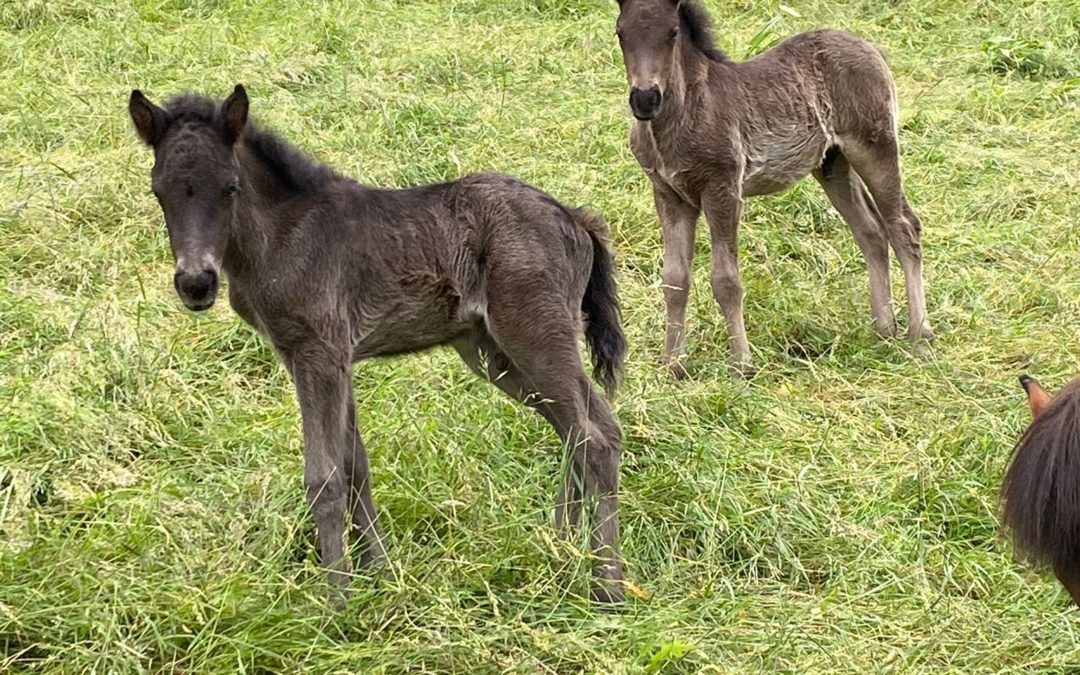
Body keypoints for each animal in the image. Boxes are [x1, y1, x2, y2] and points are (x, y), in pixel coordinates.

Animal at [130, 85, 630, 604]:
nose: (195, 284)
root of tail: (575, 219)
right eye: (159, 191)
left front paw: (338, 598)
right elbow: (357, 466)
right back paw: (560, 549)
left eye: (229, 187)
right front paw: (380, 574)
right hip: (494, 352)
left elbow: (325, 476)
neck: (282, 235)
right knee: (580, 430)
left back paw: (606, 584)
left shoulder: (318, 355)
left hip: (534, 335)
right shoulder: (330, 359)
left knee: (595, 437)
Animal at [622, 0, 933, 380]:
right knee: (871, 232)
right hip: (833, 164)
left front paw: (742, 365)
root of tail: (870, 47)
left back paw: (919, 333)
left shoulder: (722, 189)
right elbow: (674, 279)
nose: (645, 99)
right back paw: (884, 328)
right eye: (621, 33)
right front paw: (673, 365)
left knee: (903, 226)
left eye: (672, 33)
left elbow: (726, 280)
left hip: (875, 148)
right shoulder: (669, 194)